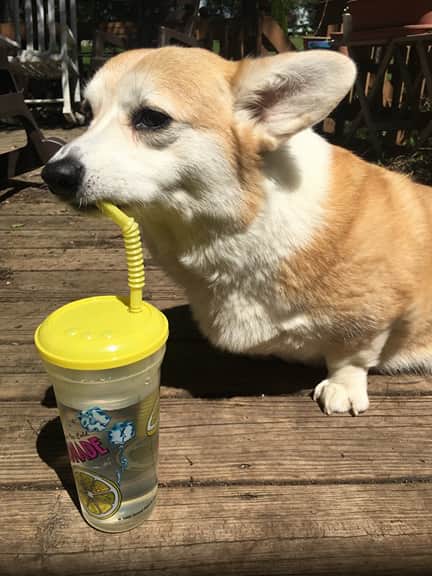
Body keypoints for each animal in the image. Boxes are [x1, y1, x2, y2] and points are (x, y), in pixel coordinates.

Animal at [42, 47, 432, 416]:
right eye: (89, 112)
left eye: (152, 118)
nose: (54, 175)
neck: (244, 219)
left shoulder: (379, 316)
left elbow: (351, 355)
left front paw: (342, 387)